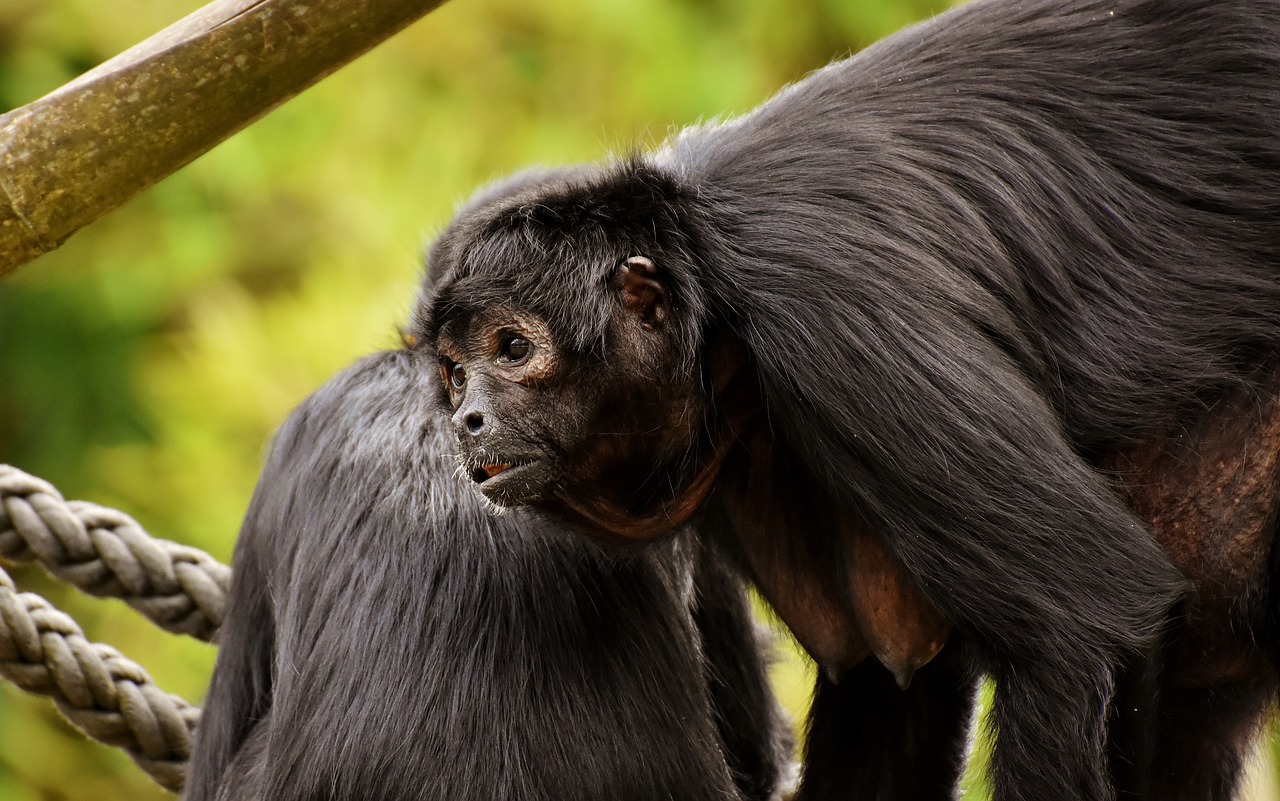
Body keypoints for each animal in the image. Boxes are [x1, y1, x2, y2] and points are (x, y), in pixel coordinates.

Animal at [417, 1, 1280, 798]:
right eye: (456, 373)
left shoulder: (833, 324)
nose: (467, 419)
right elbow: (887, 678)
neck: (709, 276)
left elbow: (1090, 610)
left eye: (513, 349)